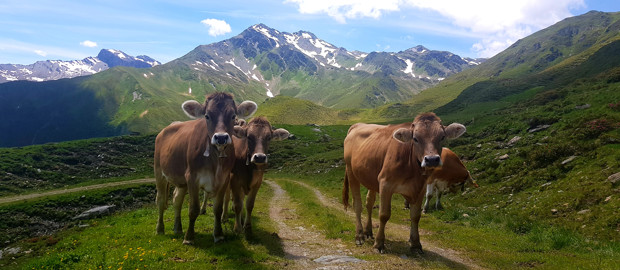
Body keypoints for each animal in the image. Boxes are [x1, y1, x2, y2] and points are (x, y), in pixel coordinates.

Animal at [154, 92, 256, 245]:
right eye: (207, 116)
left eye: (233, 116)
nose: (221, 137)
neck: (216, 162)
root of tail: (164, 130)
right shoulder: (192, 177)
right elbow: (193, 209)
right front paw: (189, 237)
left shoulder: (224, 179)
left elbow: (218, 209)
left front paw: (218, 235)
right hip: (159, 172)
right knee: (160, 200)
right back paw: (160, 229)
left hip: (181, 180)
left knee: (177, 200)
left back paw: (178, 228)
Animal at [344, 112, 464, 253]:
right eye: (415, 138)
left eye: (442, 137)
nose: (432, 159)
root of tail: (357, 125)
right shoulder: (385, 183)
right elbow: (384, 214)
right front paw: (379, 243)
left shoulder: (421, 188)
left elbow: (415, 216)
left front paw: (416, 244)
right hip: (351, 171)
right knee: (357, 204)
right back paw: (359, 235)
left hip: (371, 177)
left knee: (369, 203)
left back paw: (368, 232)